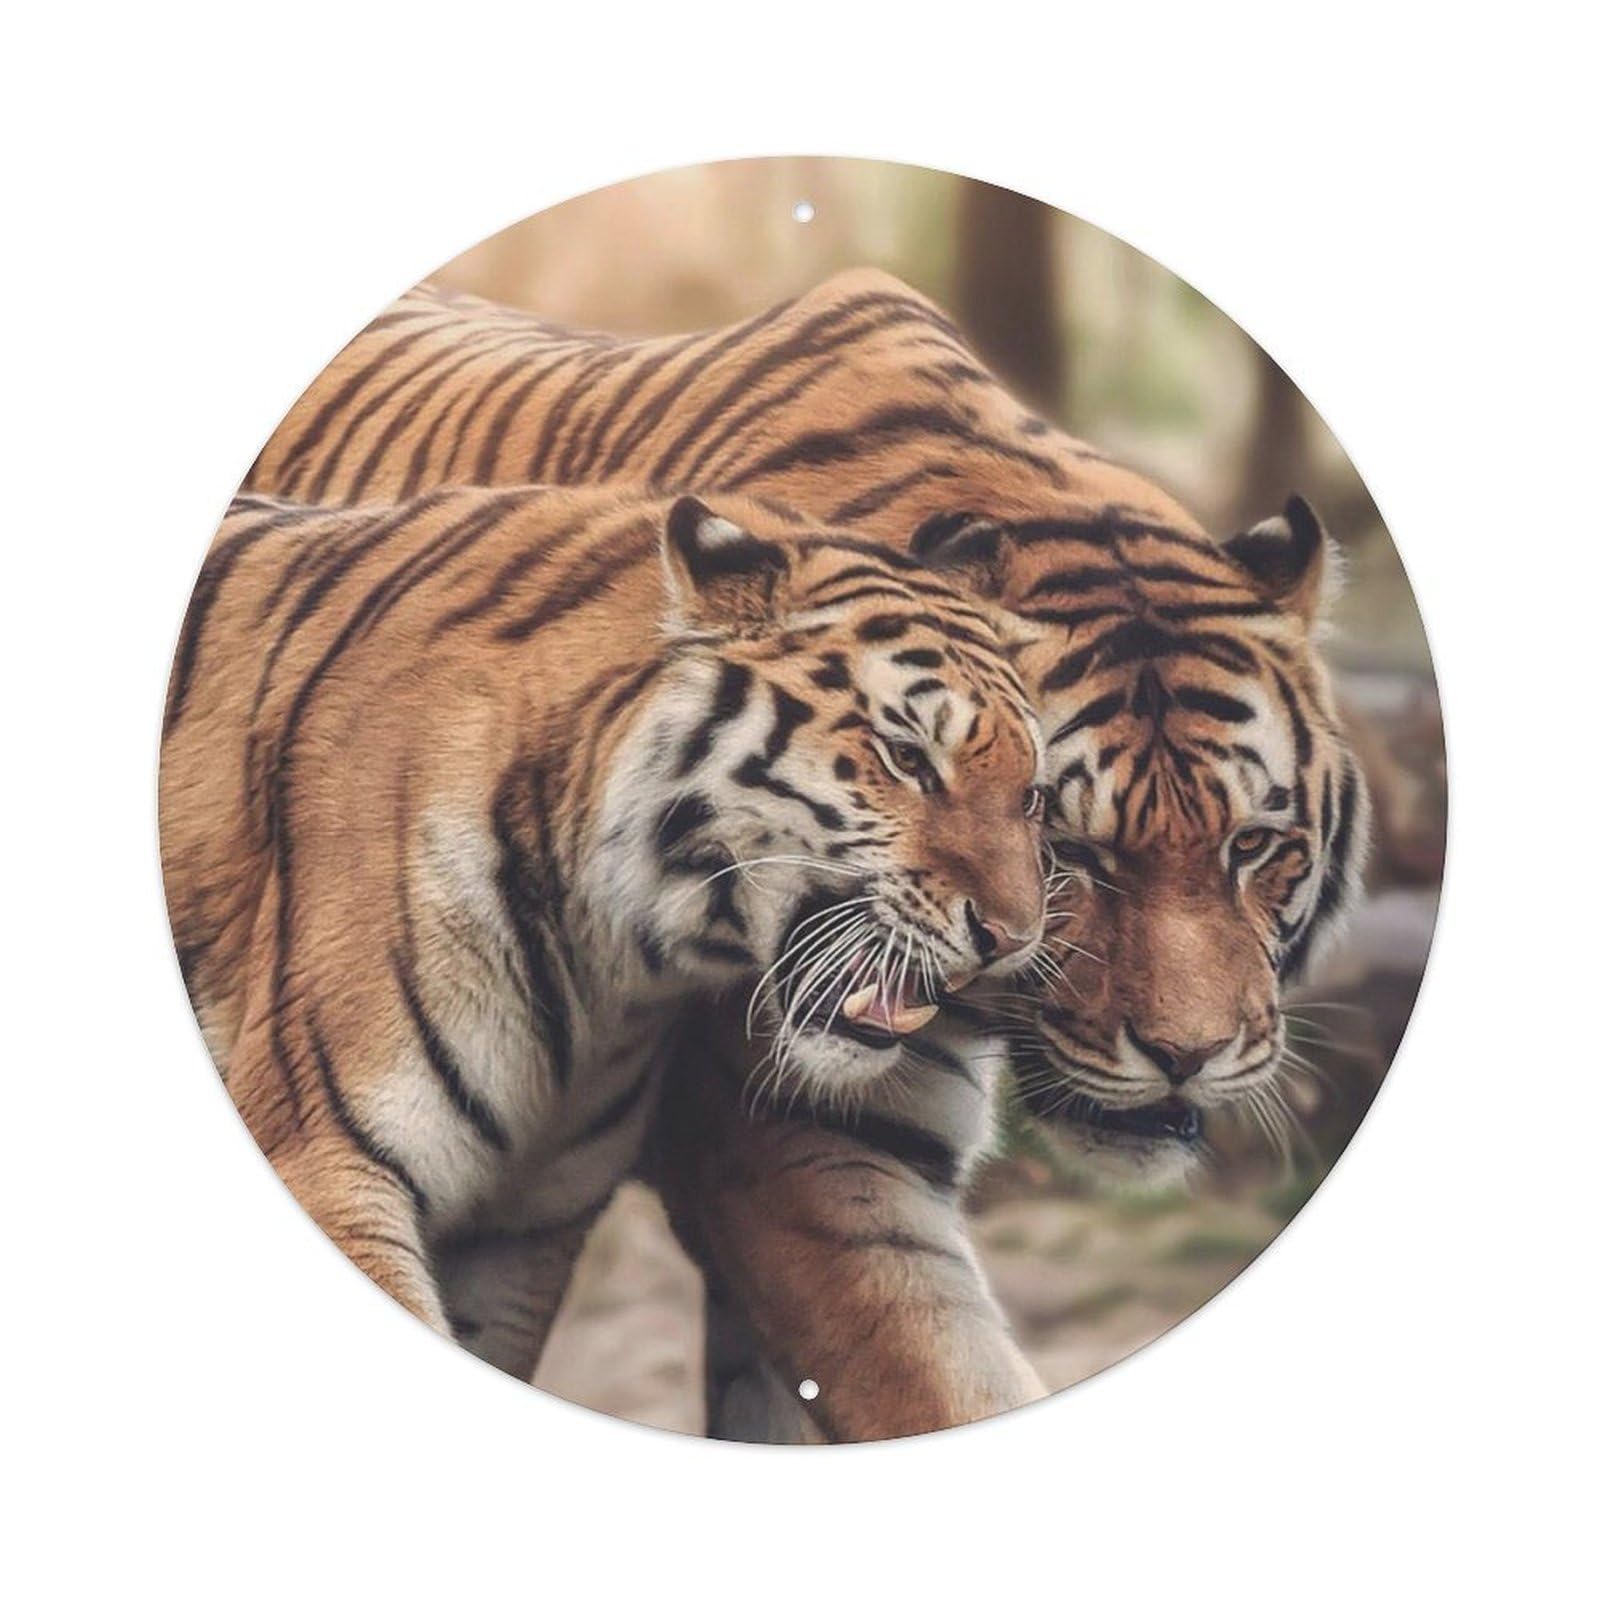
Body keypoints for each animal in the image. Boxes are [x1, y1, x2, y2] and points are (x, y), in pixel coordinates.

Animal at [160, 483, 1048, 1350]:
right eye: (907, 758)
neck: (604, 961)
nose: (1012, 939)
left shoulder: (523, 1233)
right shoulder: (325, 1158)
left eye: (1030, 795)